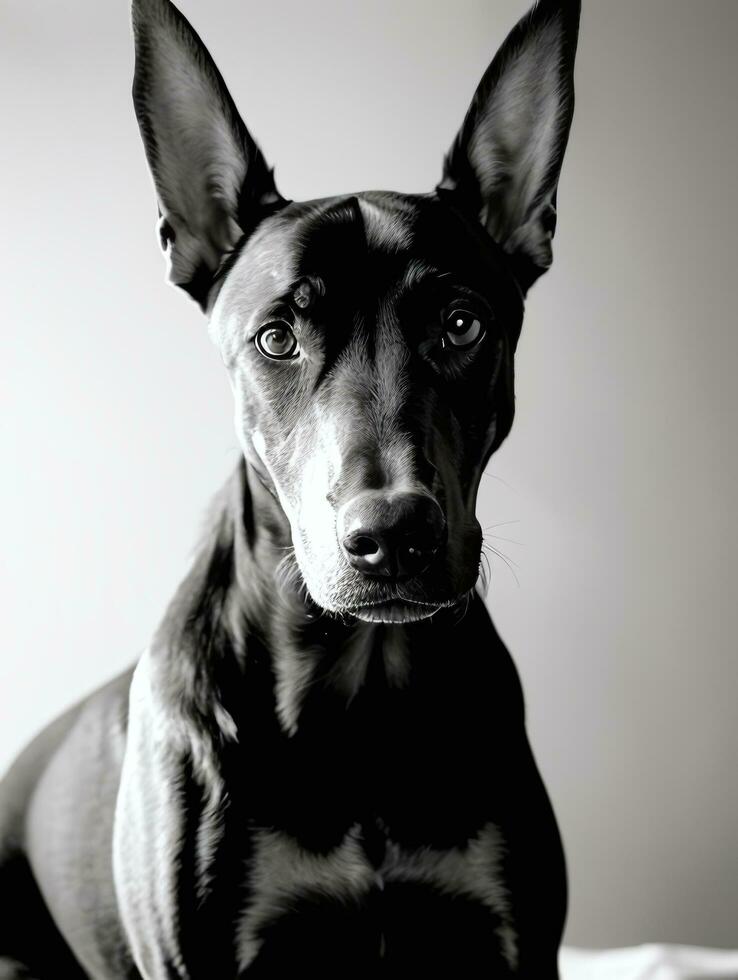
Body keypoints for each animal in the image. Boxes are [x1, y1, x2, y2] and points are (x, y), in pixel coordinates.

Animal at [0, 0, 576, 976]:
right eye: (278, 338)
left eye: (462, 324)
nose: (392, 536)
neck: (359, 699)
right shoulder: (197, 954)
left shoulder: (512, 941)